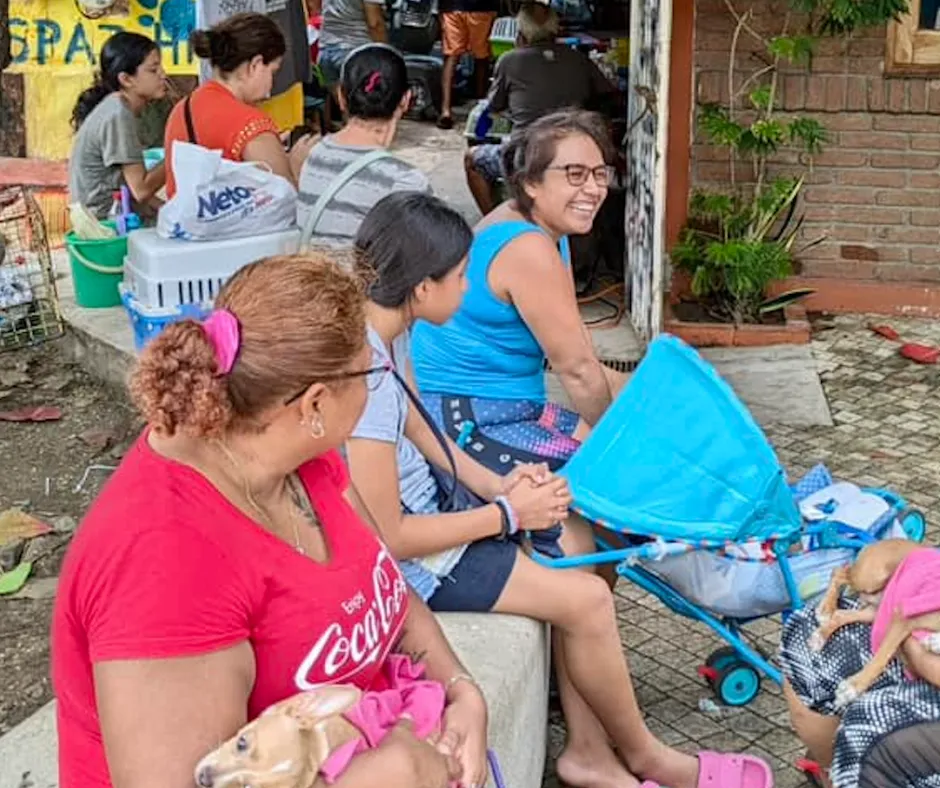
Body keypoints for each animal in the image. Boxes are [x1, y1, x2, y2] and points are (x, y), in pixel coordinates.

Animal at [808, 540, 940, 712]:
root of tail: (876, 543)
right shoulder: (904, 617)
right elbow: (881, 658)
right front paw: (852, 688)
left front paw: (935, 642)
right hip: (871, 576)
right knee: (839, 571)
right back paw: (825, 608)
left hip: (875, 611)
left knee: (840, 615)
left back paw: (821, 635)